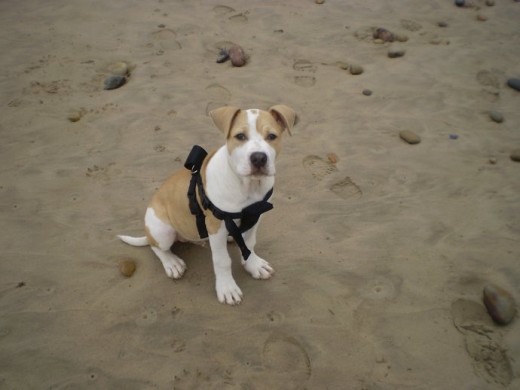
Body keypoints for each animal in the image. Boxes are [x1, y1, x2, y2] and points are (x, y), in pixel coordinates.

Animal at [119, 105, 296, 304]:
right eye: (240, 136)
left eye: (272, 136)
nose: (259, 158)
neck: (247, 186)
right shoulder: (216, 227)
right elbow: (222, 261)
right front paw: (227, 288)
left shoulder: (255, 216)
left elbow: (249, 244)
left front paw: (254, 265)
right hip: (162, 231)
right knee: (156, 246)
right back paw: (172, 263)